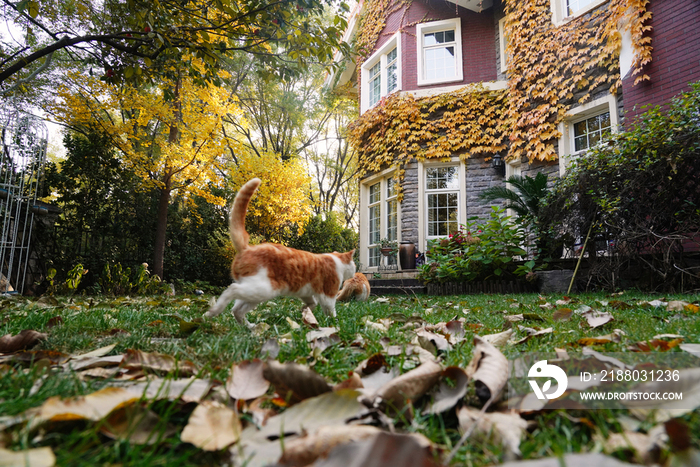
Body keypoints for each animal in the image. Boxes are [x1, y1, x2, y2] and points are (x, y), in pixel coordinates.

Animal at [202, 179, 356, 330]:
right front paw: (335, 322)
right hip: (265, 289)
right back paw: (211, 312)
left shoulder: (306, 292)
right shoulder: (328, 294)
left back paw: (250, 326)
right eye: (354, 266)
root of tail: (247, 248)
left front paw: (304, 311)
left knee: (236, 310)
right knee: (231, 291)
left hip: (255, 296)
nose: (355, 274)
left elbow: (311, 303)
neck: (336, 260)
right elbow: (330, 310)